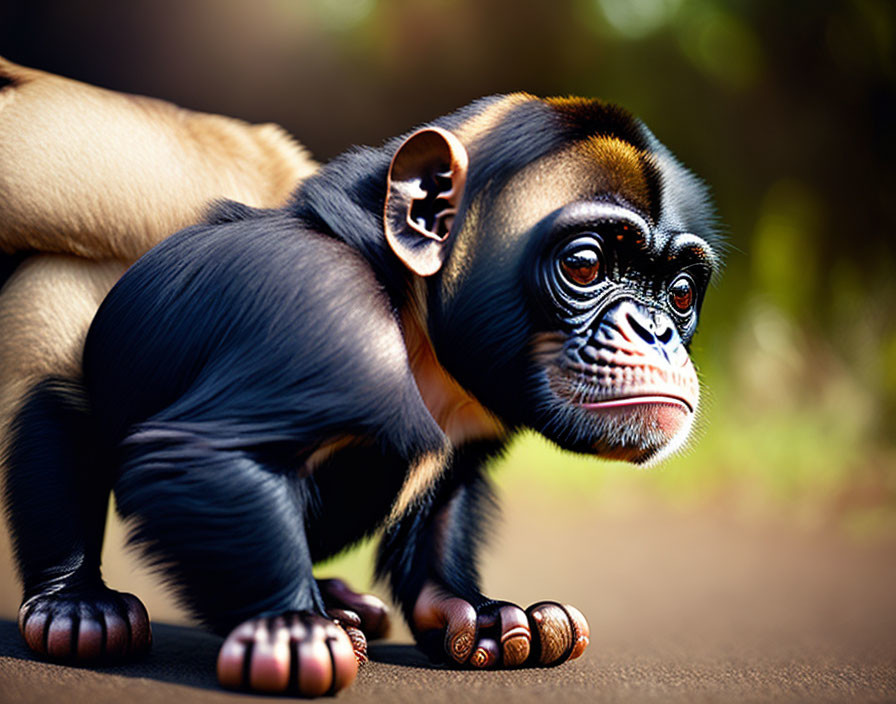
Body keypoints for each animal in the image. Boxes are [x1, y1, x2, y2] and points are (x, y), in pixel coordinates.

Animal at [3, 91, 720, 696]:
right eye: (585, 264)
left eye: (682, 293)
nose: (657, 330)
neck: (415, 313)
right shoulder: (320, 308)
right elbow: (202, 457)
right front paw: (290, 632)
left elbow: (449, 497)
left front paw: (482, 613)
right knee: (57, 396)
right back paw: (79, 608)